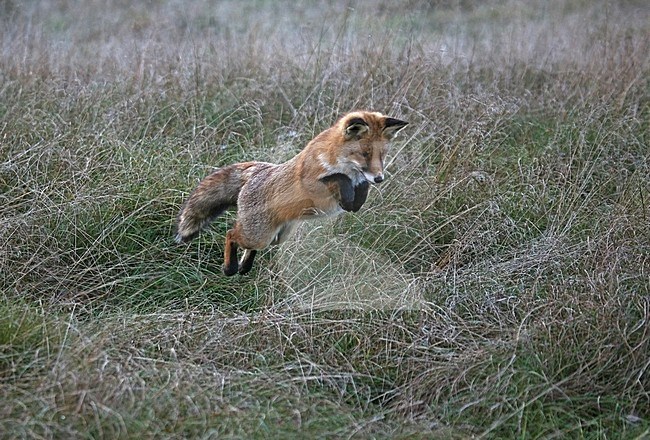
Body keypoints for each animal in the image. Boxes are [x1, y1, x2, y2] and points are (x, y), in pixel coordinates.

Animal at [175, 111, 408, 276]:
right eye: (364, 154)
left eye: (382, 156)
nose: (379, 179)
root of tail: (258, 170)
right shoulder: (313, 182)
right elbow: (337, 178)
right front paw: (343, 184)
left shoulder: (356, 194)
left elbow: (356, 197)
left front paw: (356, 190)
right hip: (259, 235)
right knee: (231, 234)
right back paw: (230, 267)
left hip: (276, 237)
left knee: (248, 245)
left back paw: (244, 266)